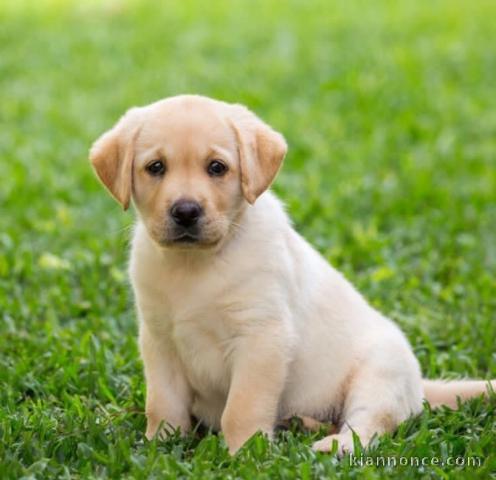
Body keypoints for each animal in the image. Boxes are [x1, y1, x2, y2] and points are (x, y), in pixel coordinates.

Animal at [90, 94, 496, 454]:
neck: (196, 265)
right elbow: (163, 404)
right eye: (156, 167)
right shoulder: (159, 340)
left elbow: (241, 408)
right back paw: (301, 423)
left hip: (379, 375)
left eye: (217, 167)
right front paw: (158, 445)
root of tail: (419, 387)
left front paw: (245, 453)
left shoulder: (262, 338)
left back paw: (335, 446)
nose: (186, 211)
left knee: (369, 424)